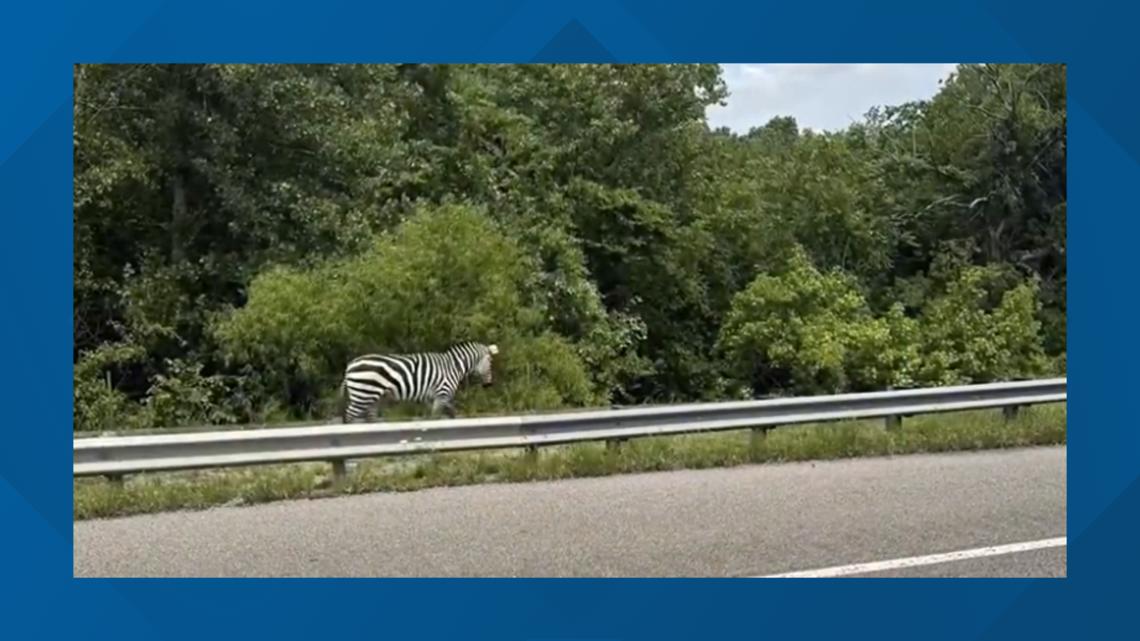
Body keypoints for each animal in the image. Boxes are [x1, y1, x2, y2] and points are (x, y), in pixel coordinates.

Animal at [339, 341, 499, 423]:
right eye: (491, 362)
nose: (489, 385)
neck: (454, 366)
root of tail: (349, 367)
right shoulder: (442, 394)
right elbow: (435, 417)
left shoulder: (438, 397)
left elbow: (450, 415)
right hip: (363, 394)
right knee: (349, 415)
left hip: (371, 397)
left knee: (369, 417)